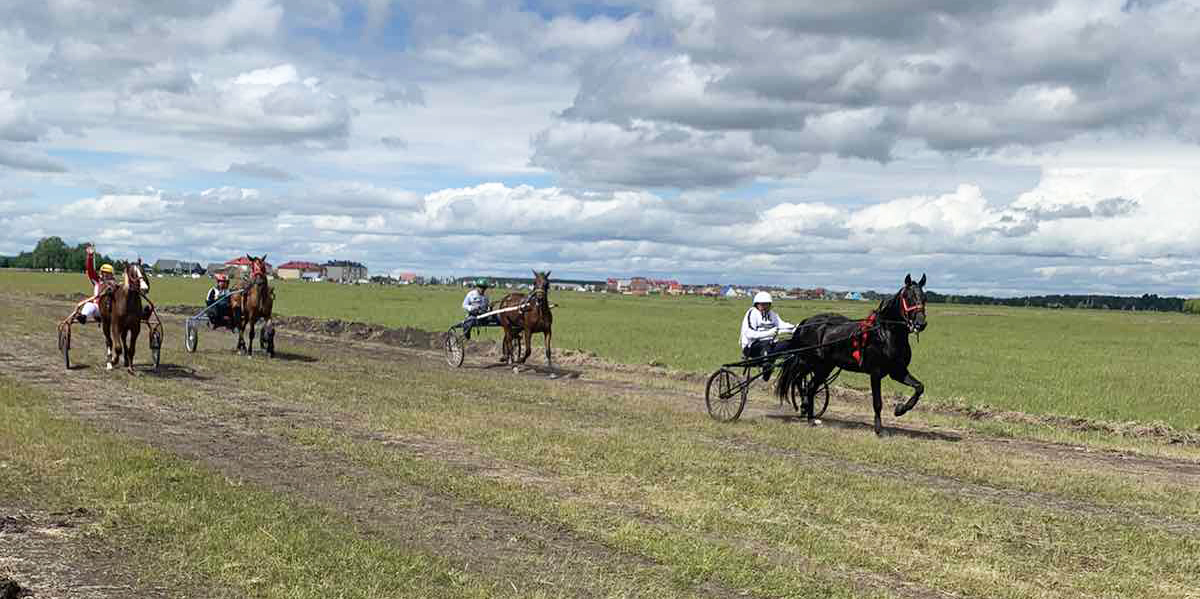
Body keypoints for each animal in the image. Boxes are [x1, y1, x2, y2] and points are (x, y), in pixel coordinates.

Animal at [772, 274, 931, 436]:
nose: (920, 323)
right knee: (800, 381)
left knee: (809, 386)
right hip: (810, 362)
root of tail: (806, 323)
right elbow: (877, 403)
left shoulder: (898, 371)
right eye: (908, 297)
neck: (885, 333)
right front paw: (879, 429)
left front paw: (900, 409)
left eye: (924, 298)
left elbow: (919, 387)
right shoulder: (876, 373)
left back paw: (810, 418)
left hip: (824, 367)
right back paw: (806, 410)